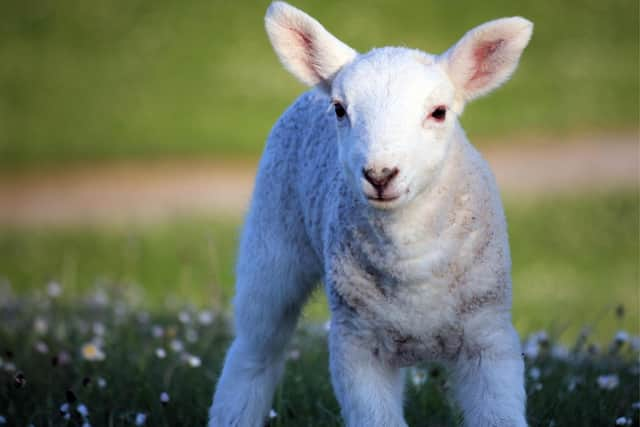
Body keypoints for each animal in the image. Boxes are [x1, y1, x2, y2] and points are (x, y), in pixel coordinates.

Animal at [209, 1, 528, 426]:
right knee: (255, 351)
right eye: (340, 110)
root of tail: (311, 91)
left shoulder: (489, 337)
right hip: (271, 239)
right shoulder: (356, 345)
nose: (380, 174)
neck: (412, 270)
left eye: (439, 112)